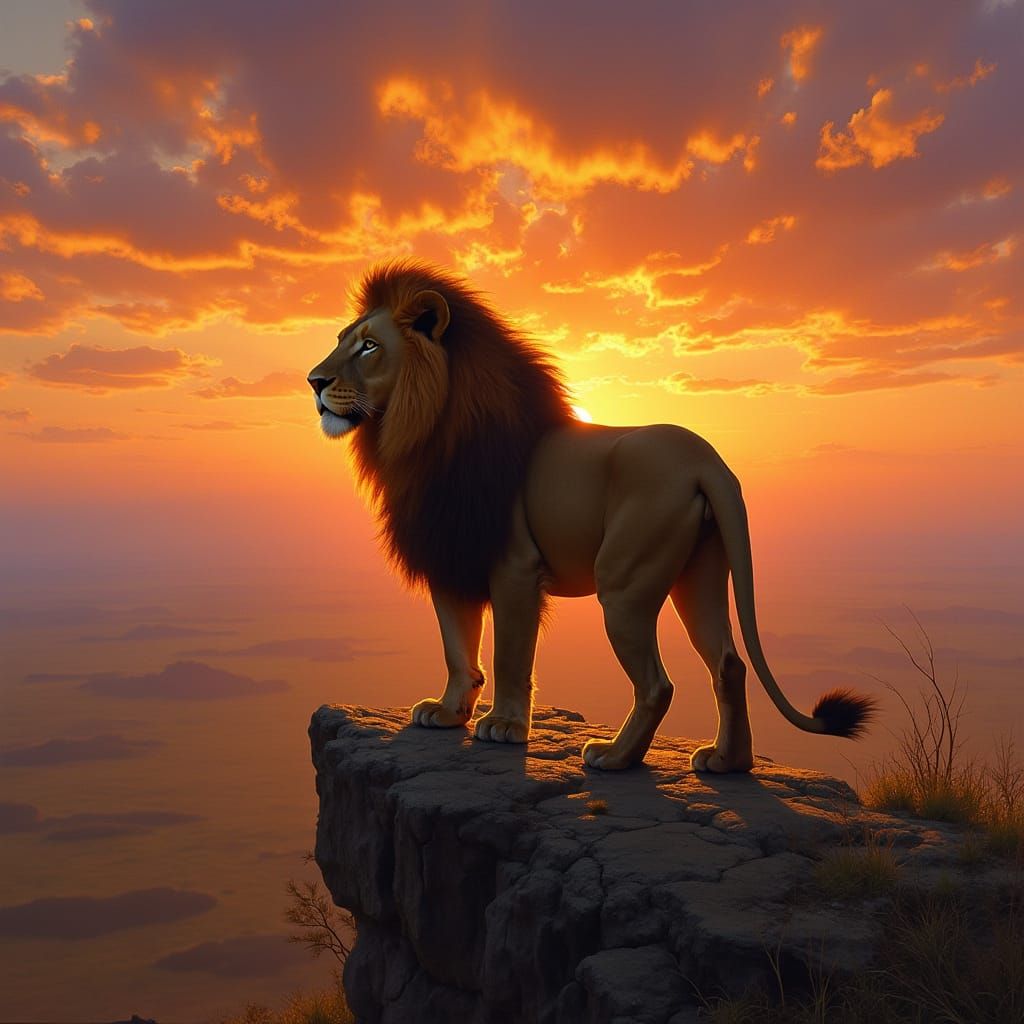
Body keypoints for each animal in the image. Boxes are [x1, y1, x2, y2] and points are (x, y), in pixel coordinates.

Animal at [308, 260, 876, 771]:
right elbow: (456, 647)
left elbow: (510, 654)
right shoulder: (450, 555)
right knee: (729, 664)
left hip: (624, 581)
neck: (422, 436)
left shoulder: (513, 566)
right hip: (699, 575)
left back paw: (615, 758)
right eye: (341, 340)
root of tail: (706, 460)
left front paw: (505, 726)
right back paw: (727, 762)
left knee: (658, 683)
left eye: (369, 346)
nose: (313, 380)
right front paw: (448, 713)